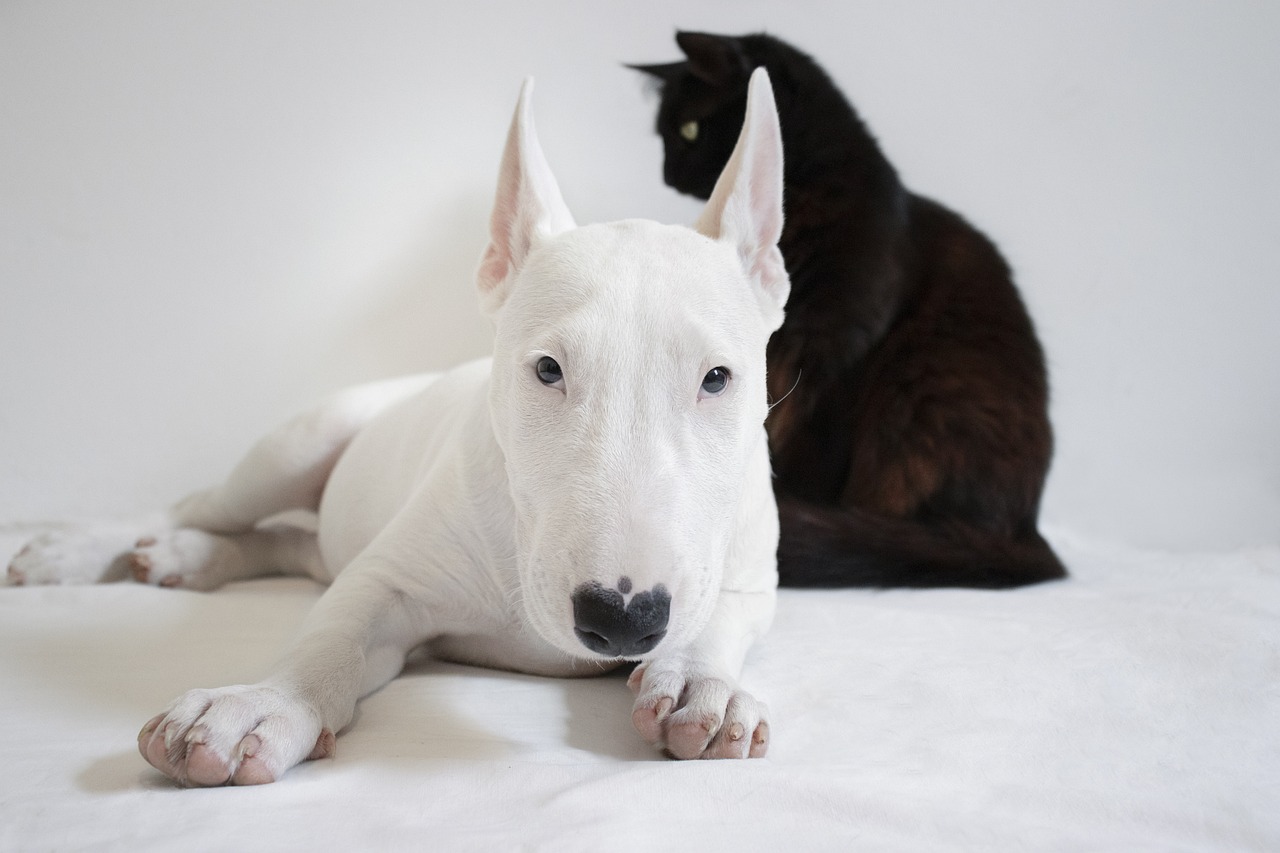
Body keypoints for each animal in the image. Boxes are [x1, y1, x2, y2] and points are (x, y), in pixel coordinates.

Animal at [7, 68, 788, 783]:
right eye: (547, 369)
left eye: (716, 378)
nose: (622, 617)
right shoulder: (391, 575)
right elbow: (333, 631)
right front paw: (259, 704)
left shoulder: (750, 573)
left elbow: (722, 616)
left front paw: (700, 685)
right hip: (295, 447)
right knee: (208, 508)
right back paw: (80, 552)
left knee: (293, 545)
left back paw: (187, 558)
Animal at [634, 31, 1064, 584]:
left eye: (688, 129)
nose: (667, 174)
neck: (808, 201)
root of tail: (1027, 535)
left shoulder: (835, 357)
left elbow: (808, 447)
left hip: (928, 390)